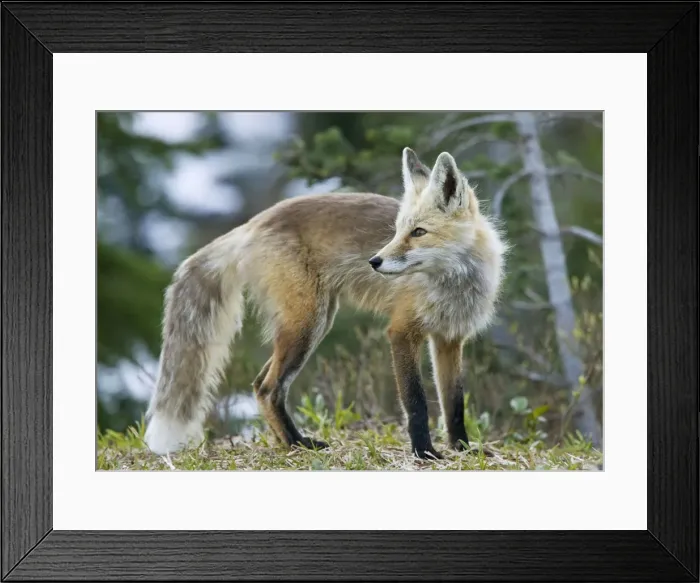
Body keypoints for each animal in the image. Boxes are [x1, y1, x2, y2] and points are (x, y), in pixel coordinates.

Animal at [144, 147, 507, 460]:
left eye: (418, 232)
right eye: (396, 231)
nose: (374, 261)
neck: (453, 287)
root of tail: (254, 222)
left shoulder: (450, 338)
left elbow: (454, 404)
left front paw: (462, 449)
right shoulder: (402, 332)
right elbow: (416, 403)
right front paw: (424, 453)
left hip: (311, 323)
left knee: (260, 383)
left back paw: (288, 442)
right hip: (307, 324)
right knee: (268, 387)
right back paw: (297, 444)